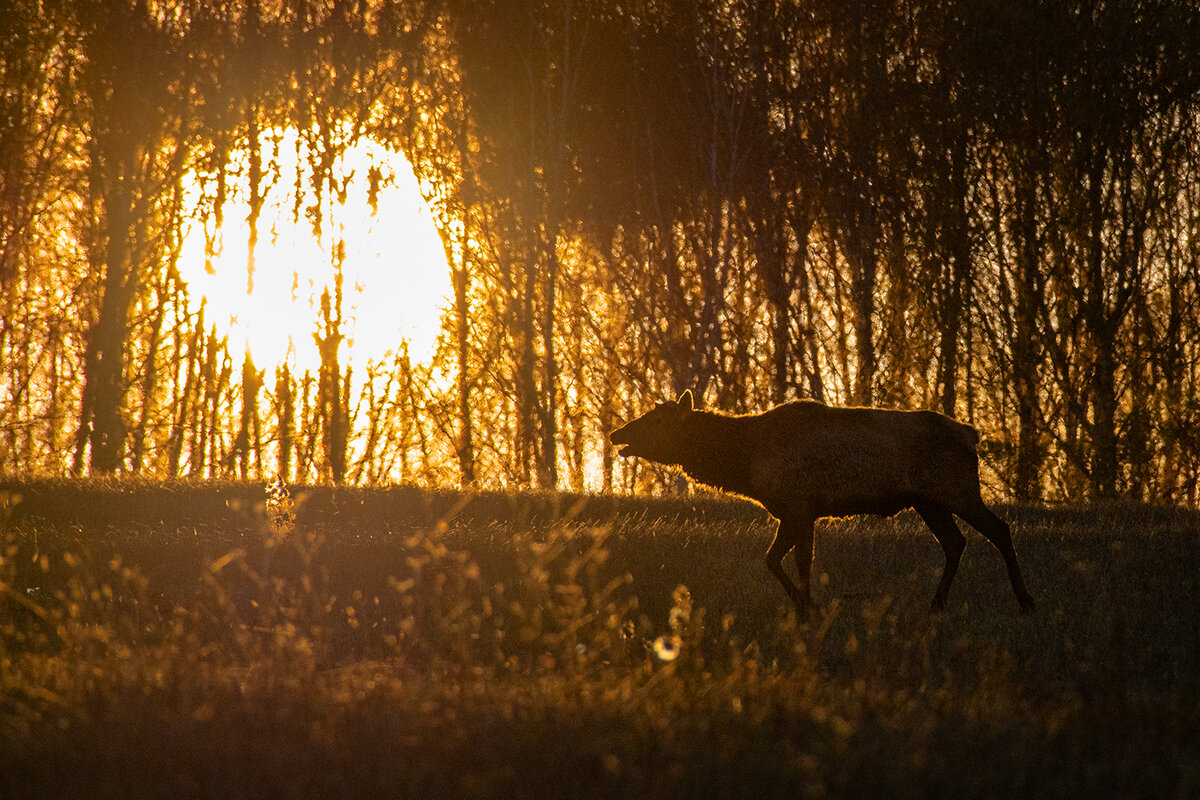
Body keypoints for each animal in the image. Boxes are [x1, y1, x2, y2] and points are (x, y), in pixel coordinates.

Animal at [614, 393, 1036, 614]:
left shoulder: (800, 505)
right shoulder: (792, 512)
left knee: (999, 529)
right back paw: (936, 604)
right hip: (929, 502)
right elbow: (772, 559)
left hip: (957, 490)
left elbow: (800, 561)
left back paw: (1025, 599)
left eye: (656, 421)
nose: (617, 433)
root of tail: (971, 434)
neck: (744, 462)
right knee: (955, 542)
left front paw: (809, 608)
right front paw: (804, 606)